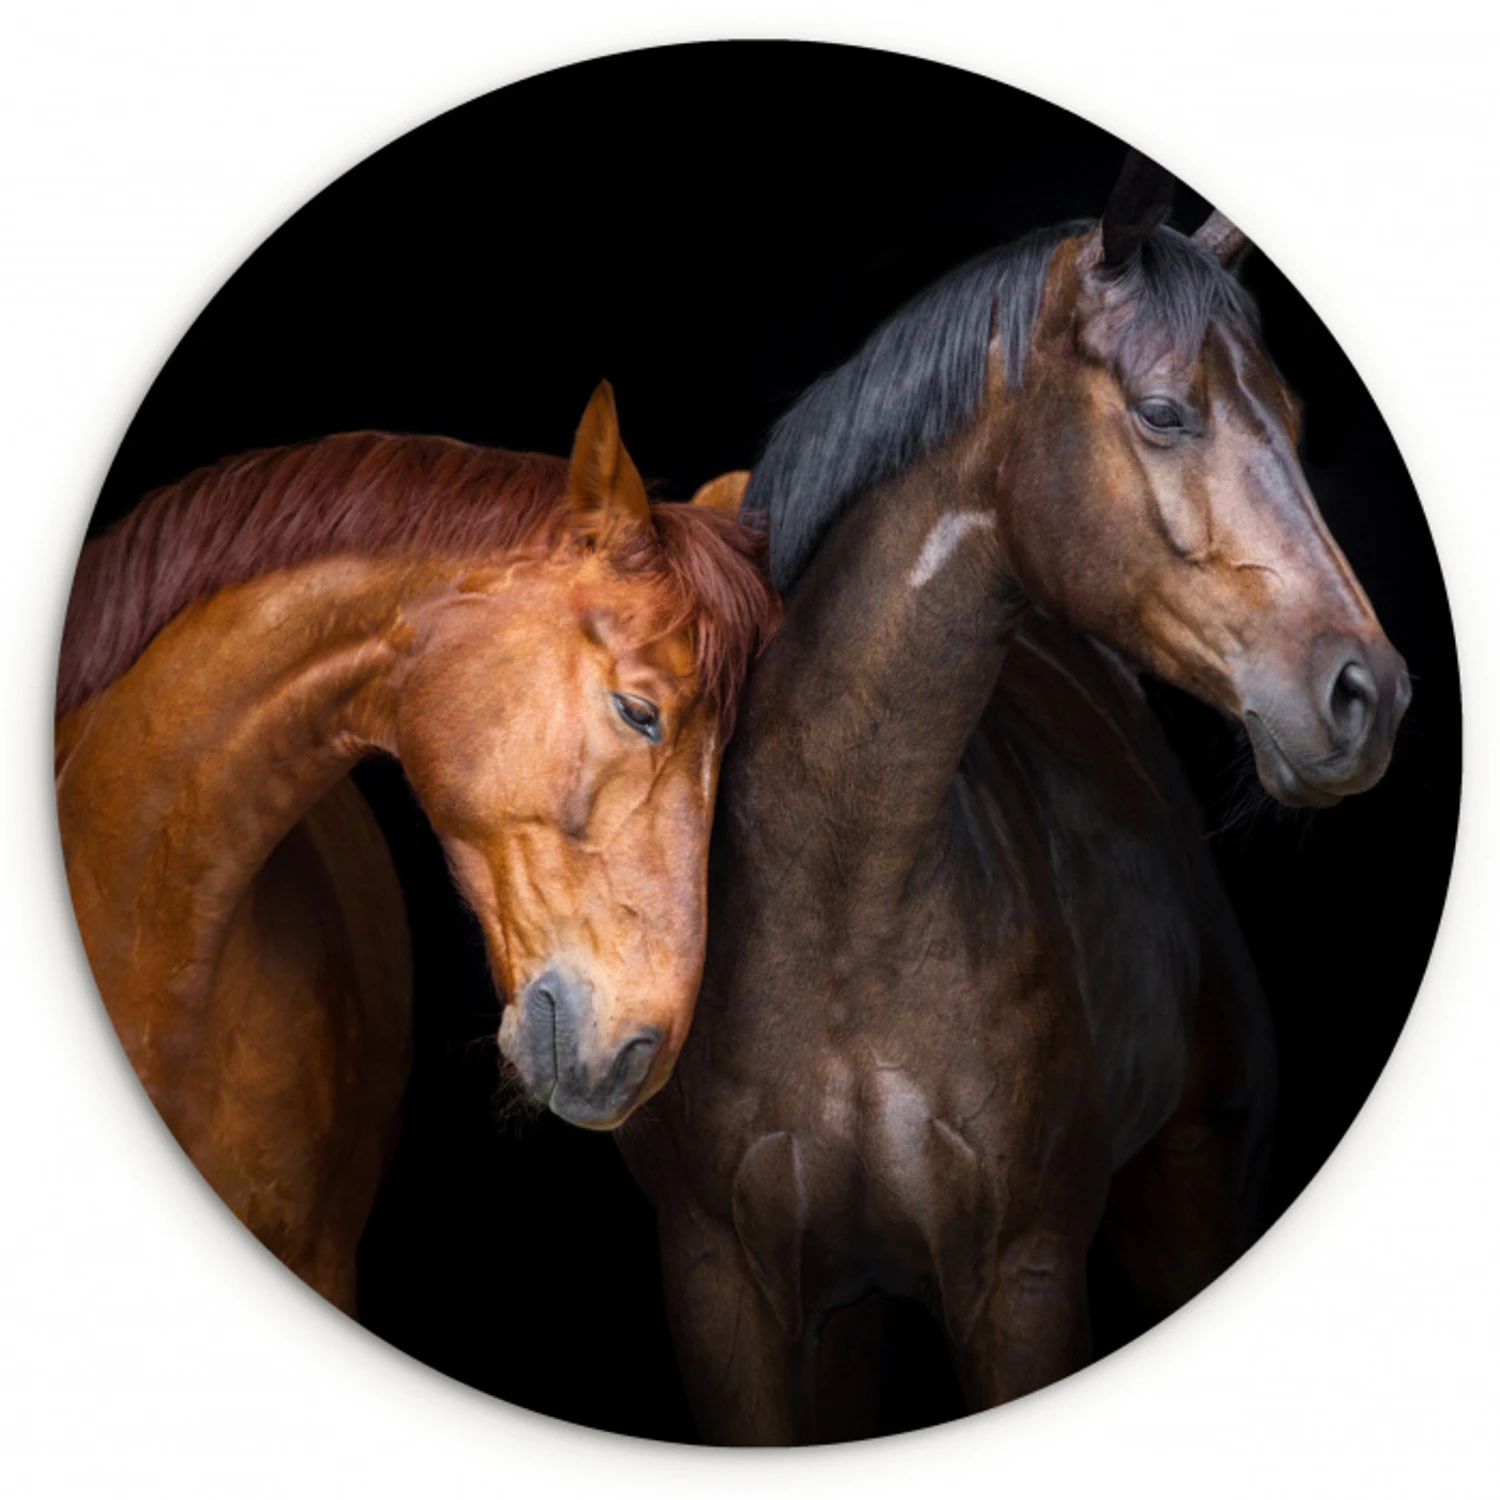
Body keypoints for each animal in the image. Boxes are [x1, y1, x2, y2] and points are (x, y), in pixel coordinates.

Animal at [616, 156, 1411, 1443]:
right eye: (1164, 410)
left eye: (1293, 425)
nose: (1367, 695)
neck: (845, 904)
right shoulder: (724, 1288)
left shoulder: (1024, 1280)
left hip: (1187, 1204)